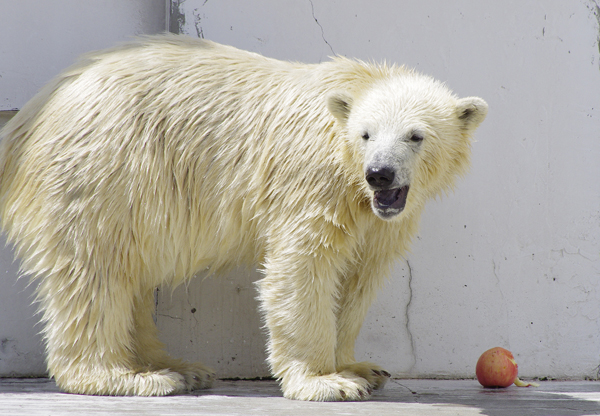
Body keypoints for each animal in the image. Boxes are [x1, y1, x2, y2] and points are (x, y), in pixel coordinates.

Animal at [0, 35, 488, 400]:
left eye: (415, 136)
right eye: (366, 134)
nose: (380, 173)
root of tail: (31, 116)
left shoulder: (381, 217)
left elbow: (359, 277)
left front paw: (360, 368)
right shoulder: (314, 183)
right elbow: (303, 266)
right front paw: (327, 382)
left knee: (129, 273)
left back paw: (178, 367)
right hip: (106, 169)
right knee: (96, 271)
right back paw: (128, 377)